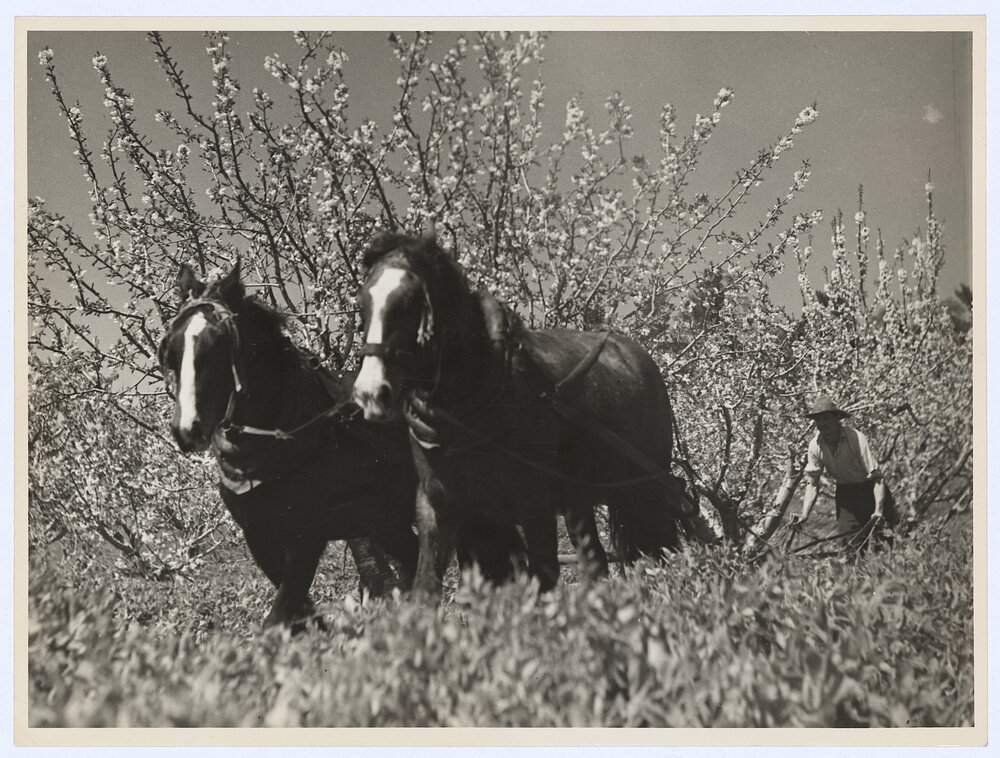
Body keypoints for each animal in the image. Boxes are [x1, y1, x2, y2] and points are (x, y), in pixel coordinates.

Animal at [158, 262, 422, 628]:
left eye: (220, 343)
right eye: (171, 347)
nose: (187, 428)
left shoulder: (306, 536)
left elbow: (280, 615)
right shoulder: (260, 537)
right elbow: (299, 612)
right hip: (388, 524)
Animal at [351, 233, 695, 599]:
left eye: (412, 300)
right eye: (363, 302)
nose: (369, 392)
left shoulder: (533, 505)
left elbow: (543, 578)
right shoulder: (439, 505)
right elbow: (426, 588)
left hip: (644, 484)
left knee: (663, 547)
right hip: (578, 499)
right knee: (595, 560)